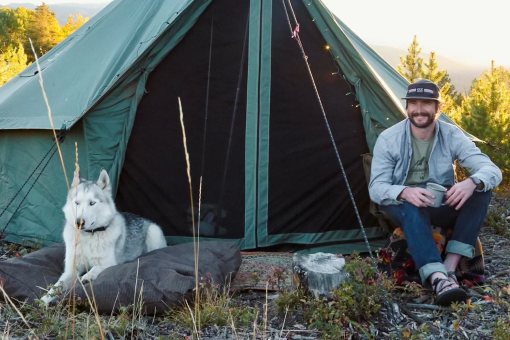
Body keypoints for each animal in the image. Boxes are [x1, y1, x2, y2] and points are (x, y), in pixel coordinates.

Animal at [42, 169, 165, 304]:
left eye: (92, 203)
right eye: (77, 203)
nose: (79, 222)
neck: (89, 235)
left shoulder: (112, 264)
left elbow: (96, 267)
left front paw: (88, 276)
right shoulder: (71, 269)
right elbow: (57, 285)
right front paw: (44, 299)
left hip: (153, 232)